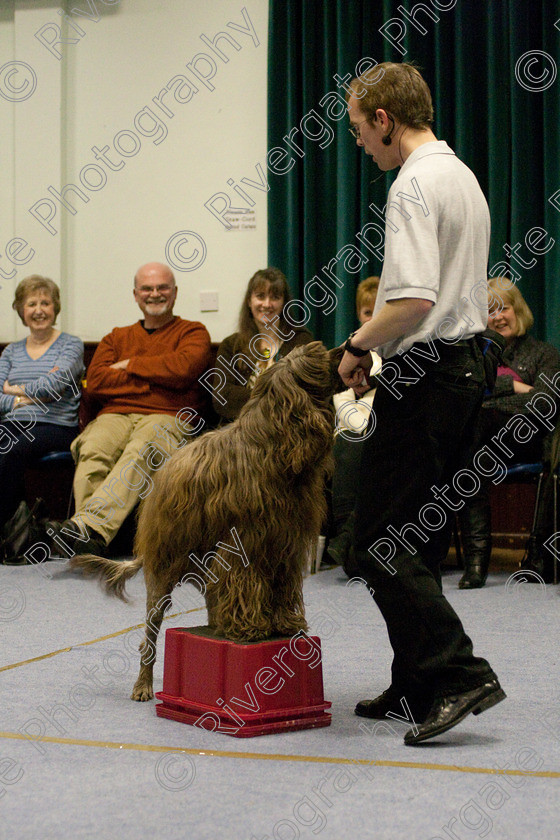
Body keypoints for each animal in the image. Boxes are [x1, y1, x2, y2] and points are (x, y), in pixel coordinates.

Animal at [70, 342, 346, 704]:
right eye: (320, 356)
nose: (347, 347)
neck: (271, 446)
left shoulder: (284, 545)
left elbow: (282, 587)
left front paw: (286, 622)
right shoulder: (243, 544)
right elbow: (246, 583)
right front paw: (249, 626)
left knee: (212, 595)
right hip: (163, 572)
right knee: (150, 636)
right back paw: (143, 685)